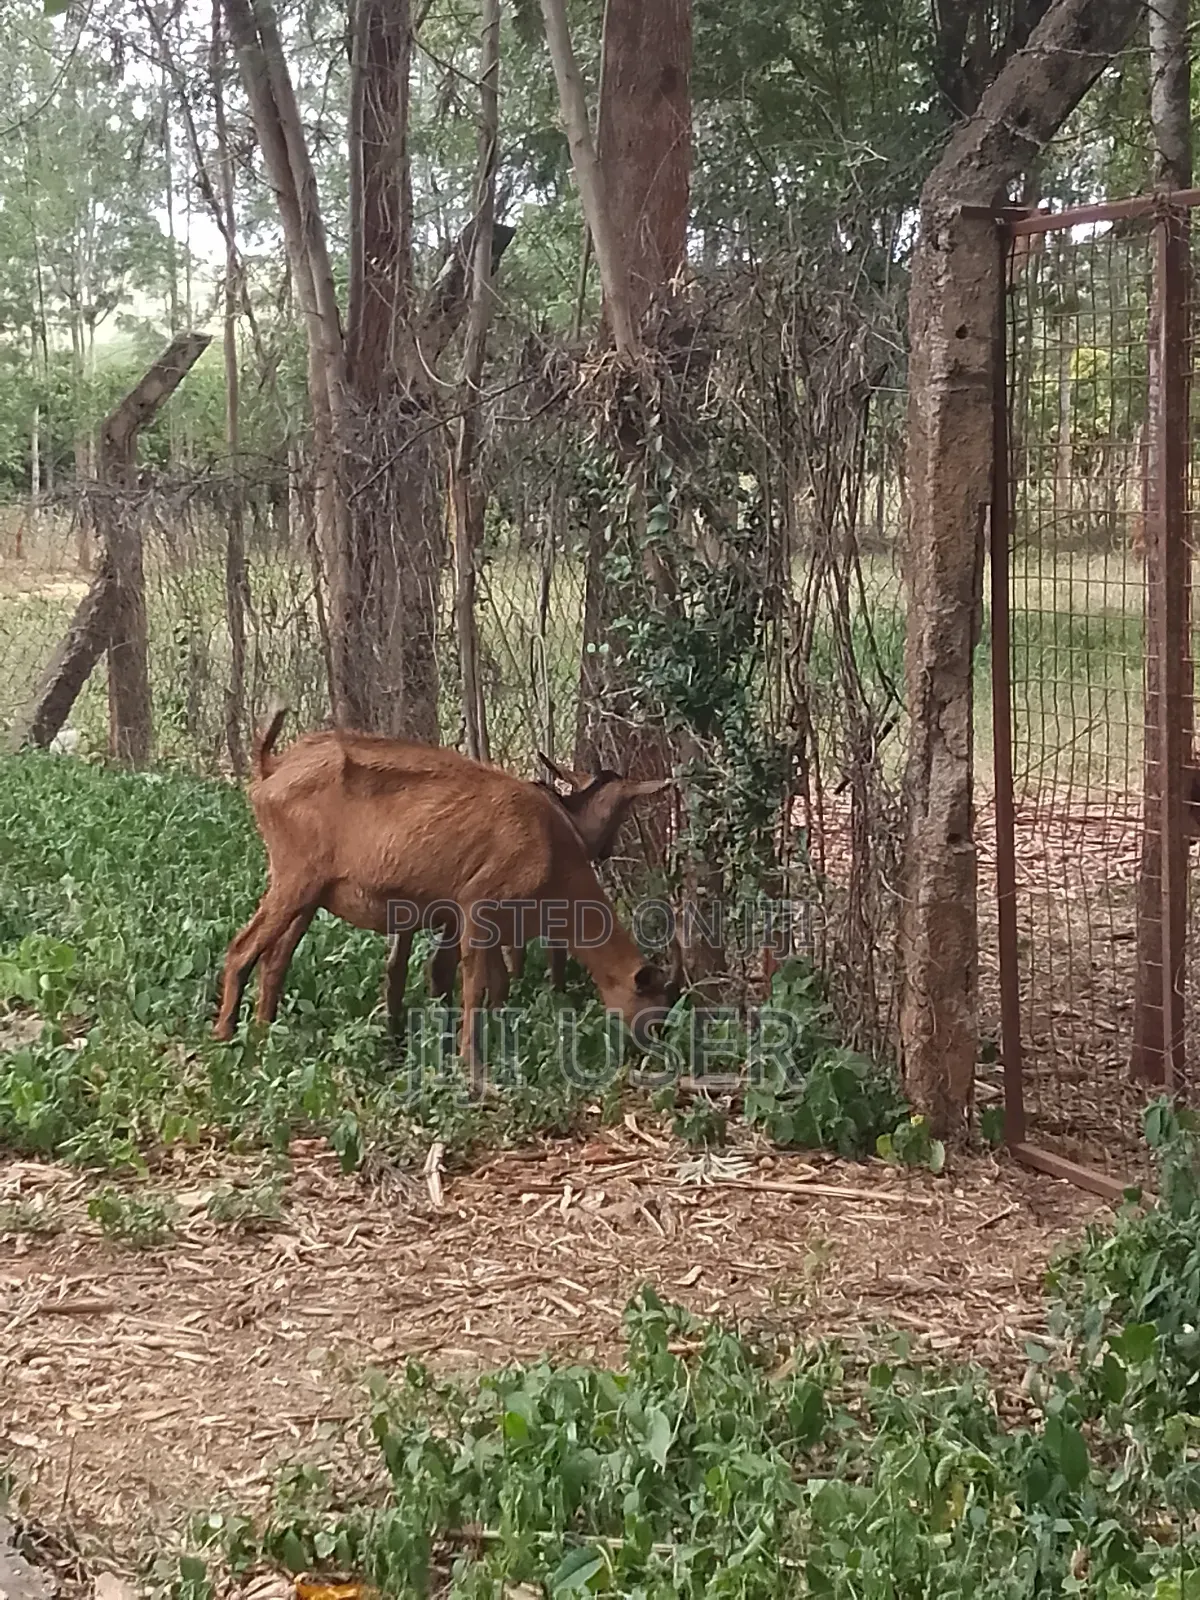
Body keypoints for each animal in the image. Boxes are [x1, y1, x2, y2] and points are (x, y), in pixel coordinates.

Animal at [425, 752, 673, 1000]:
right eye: (623, 814)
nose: (606, 851)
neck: (577, 822)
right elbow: (551, 959)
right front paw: (555, 997)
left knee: (441, 965)